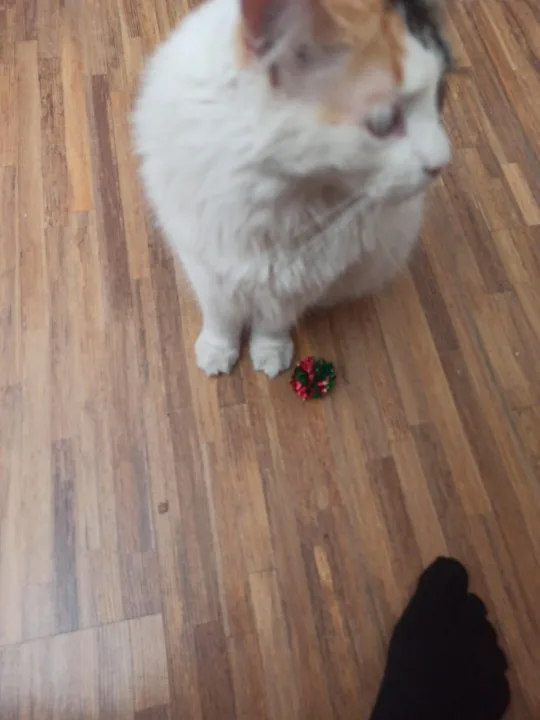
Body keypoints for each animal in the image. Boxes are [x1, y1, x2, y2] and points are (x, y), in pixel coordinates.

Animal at [132, 0, 452, 377]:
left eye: (441, 97)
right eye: (383, 123)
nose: (442, 162)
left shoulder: (301, 279)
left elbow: (272, 323)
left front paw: (269, 352)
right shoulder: (208, 268)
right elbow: (221, 320)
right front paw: (218, 351)